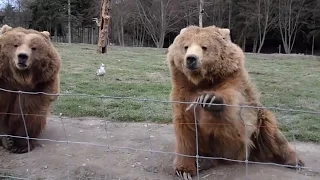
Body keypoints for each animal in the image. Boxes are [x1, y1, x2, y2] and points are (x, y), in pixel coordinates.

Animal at [0, 24, 60, 153]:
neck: (20, 79)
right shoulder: (4, 85)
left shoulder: (40, 87)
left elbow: (29, 113)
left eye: (34, 47)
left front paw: (21, 145)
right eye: (15, 44)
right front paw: (6, 139)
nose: (22, 56)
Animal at [166, 25, 304, 179]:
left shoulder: (232, 79)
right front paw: (184, 170)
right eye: (186, 46)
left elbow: (232, 110)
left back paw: (294, 161)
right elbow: (185, 129)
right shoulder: (183, 92)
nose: (191, 58)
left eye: (204, 47)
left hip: (258, 126)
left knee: (273, 134)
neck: (201, 81)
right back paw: (203, 161)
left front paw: (211, 100)